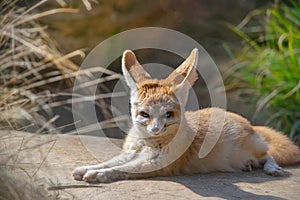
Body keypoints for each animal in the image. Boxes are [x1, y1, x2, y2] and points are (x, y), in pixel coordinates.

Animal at [73, 48, 300, 183]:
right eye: (144, 114)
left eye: (169, 114)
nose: (155, 129)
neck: (146, 145)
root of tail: (248, 123)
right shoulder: (129, 153)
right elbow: (109, 162)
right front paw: (87, 168)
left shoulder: (155, 164)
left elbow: (122, 169)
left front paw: (98, 174)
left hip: (255, 147)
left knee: (269, 153)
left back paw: (271, 168)